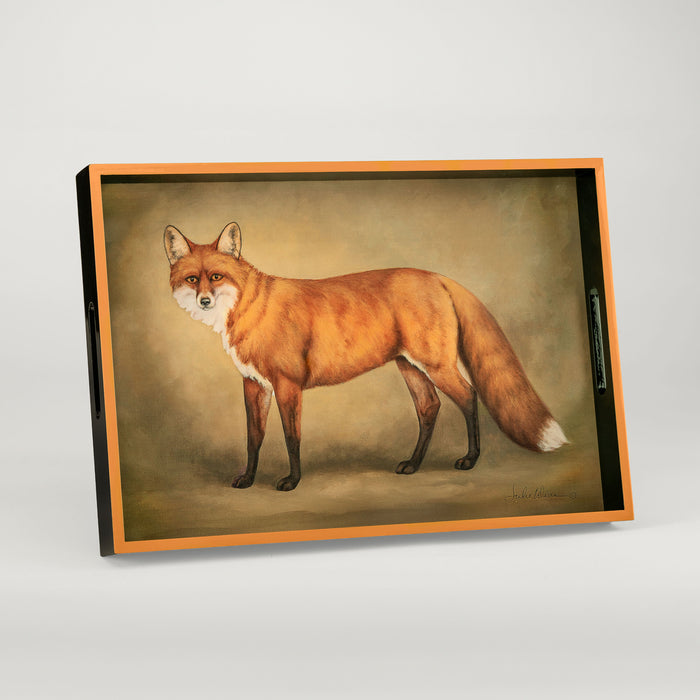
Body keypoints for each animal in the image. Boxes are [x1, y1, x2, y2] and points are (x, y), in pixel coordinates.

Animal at [164, 221, 568, 491]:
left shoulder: (287, 384)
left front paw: (293, 481)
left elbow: (292, 437)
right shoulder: (253, 384)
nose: (204, 301)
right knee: (430, 408)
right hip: (410, 368)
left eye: (216, 277)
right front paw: (248, 478)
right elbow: (253, 437)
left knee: (469, 397)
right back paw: (413, 465)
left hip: (435, 365)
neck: (251, 310)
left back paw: (470, 460)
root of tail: (436, 275)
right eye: (192, 279)